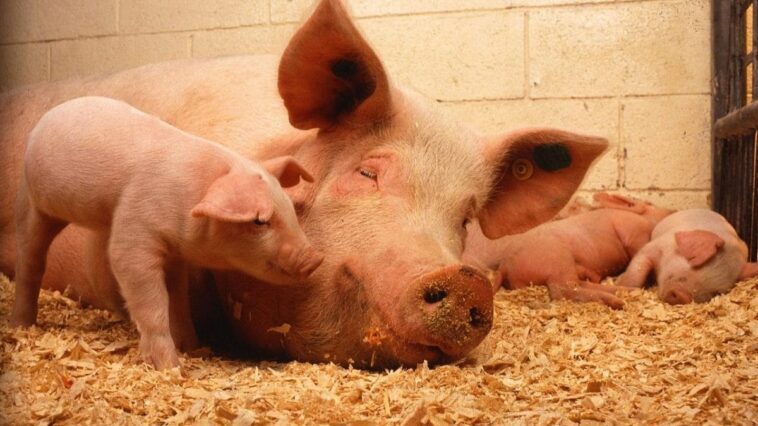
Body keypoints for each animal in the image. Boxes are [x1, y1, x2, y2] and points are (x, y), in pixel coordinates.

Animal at [11, 96, 323, 369]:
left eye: (289, 208)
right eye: (259, 221)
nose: (315, 259)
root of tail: (48, 117)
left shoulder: (175, 255)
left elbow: (179, 301)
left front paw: (194, 348)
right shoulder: (134, 230)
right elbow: (150, 298)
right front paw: (171, 367)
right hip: (35, 204)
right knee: (29, 257)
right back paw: (22, 325)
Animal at [463, 193, 674, 308]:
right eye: (651, 204)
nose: (672, 211)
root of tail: (504, 267)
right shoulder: (633, 230)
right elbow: (636, 248)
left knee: (578, 285)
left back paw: (624, 293)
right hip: (558, 260)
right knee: (563, 290)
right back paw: (618, 302)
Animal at [617, 208, 758, 304]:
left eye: (716, 292)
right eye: (695, 261)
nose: (682, 296)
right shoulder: (655, 246)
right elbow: (638, 270)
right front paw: (622, 286)